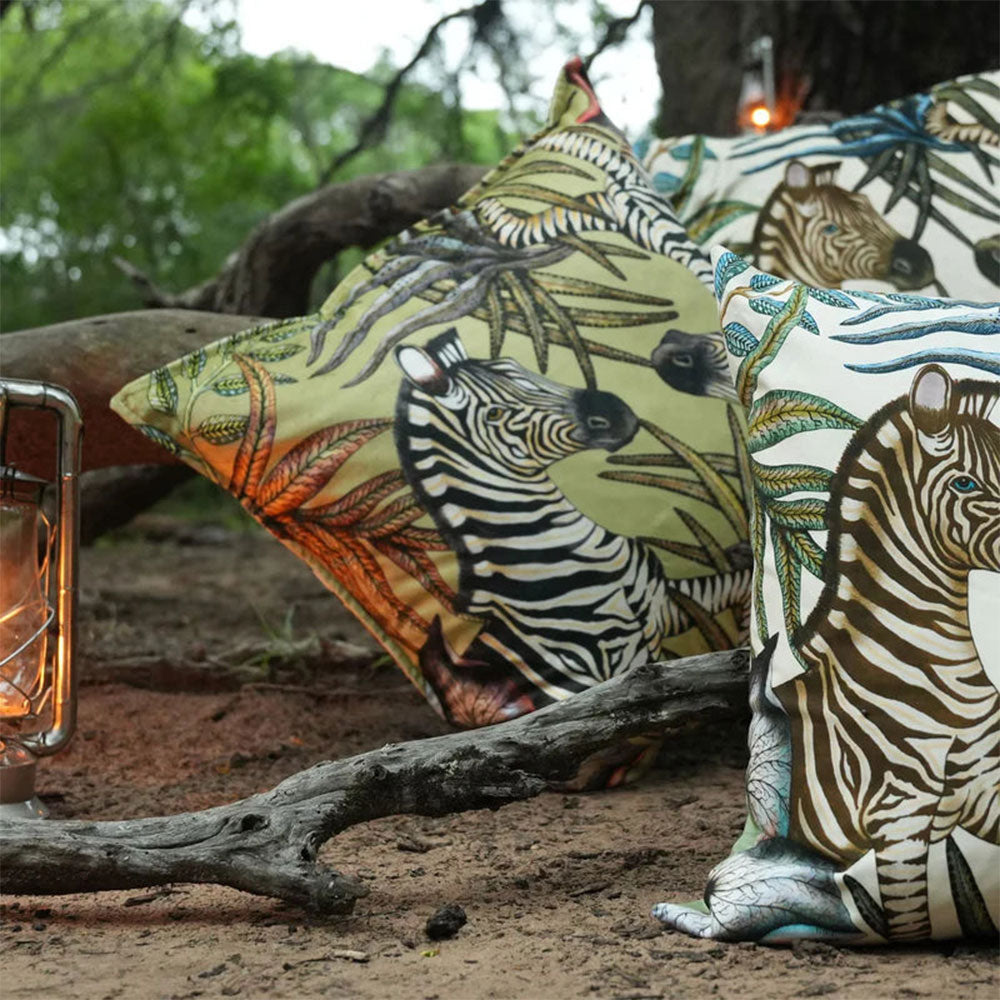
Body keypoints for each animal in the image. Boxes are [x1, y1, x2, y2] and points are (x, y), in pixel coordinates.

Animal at [394, 328, 749, 724]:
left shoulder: (665, 602)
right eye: (494, 414)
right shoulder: (614, 653)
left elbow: (743, 587)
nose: (616, 412)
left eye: (517, 366)